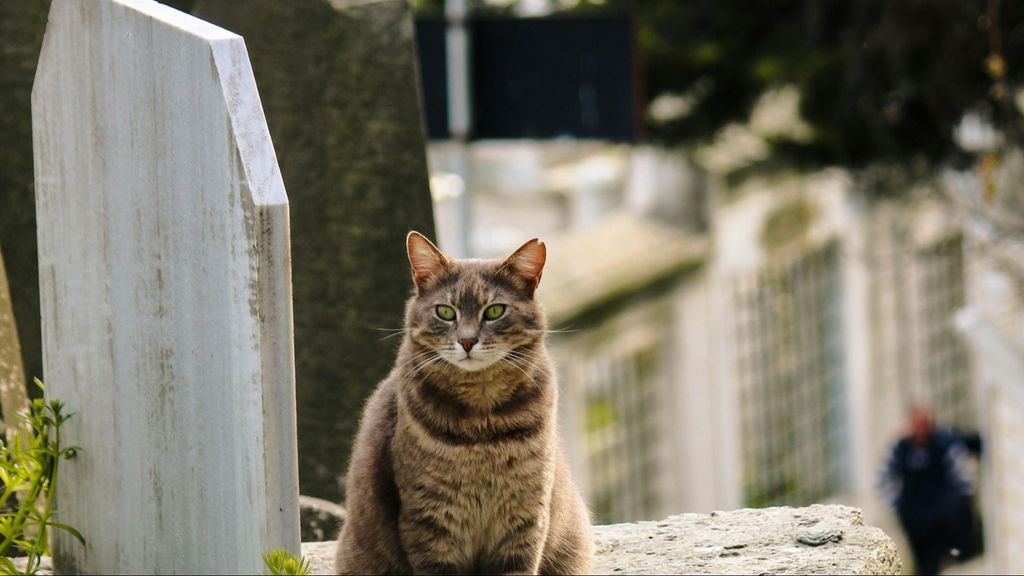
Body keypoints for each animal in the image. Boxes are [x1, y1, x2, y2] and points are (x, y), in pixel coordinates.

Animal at [333, 230, 593, 569]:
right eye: (445, 312)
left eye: (495, 311)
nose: (467, 340)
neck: (481, 422)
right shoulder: (430, 518)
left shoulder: (525, 516)